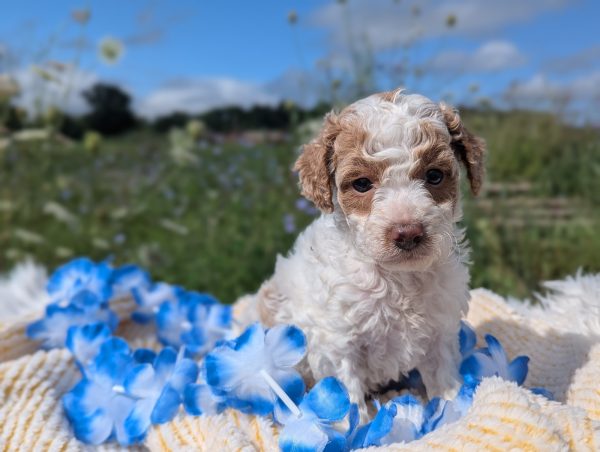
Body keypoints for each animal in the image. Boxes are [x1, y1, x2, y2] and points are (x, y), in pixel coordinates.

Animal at [232, 88, 486, 420]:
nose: (408, 232)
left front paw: (454, 415)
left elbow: (444, 380)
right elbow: (347, 398)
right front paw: (358, 426)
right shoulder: (338, 343)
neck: (397, 277)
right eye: (362, 183)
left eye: (434, 176)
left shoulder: (439, 333)